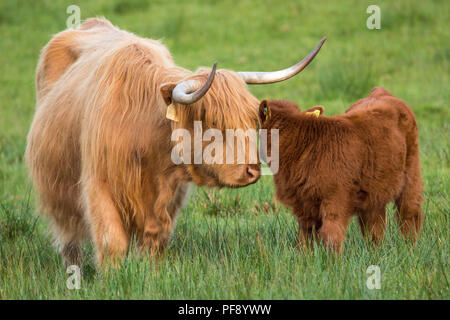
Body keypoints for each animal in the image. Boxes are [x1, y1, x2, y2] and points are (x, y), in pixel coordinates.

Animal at [258, 87, 424, 250]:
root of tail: (381, 92)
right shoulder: (304, 203)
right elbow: (304, 239)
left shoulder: (335, 200)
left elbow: (332, 236)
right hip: (374, 189)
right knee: (374, 225)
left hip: (412, 173)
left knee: (409, 213)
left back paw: (410, 248)